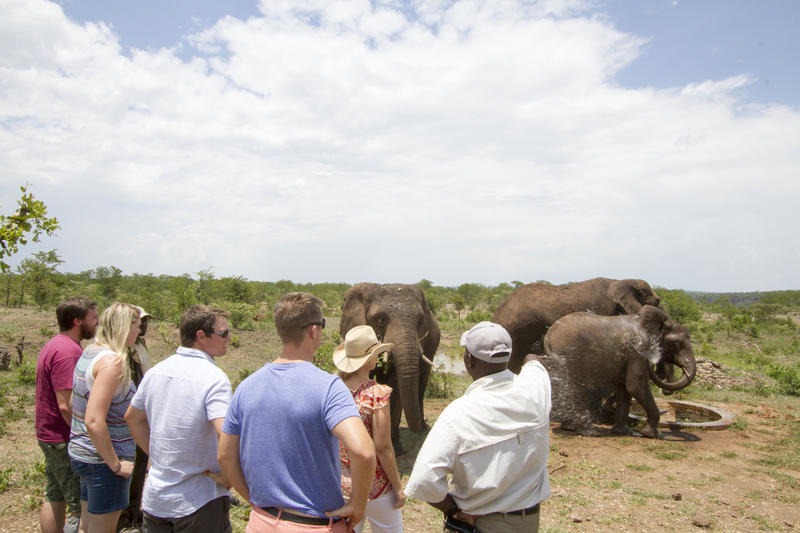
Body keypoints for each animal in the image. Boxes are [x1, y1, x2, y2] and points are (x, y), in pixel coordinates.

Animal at [540, 306, 696, 438]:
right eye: (677, 343)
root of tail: (548, 338)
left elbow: (624, 389)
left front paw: (624, 432)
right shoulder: (638, 352)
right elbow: (635, 386)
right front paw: (651, 435)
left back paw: (570, 427)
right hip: (571, 357)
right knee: (575, 387)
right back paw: (591, 431)